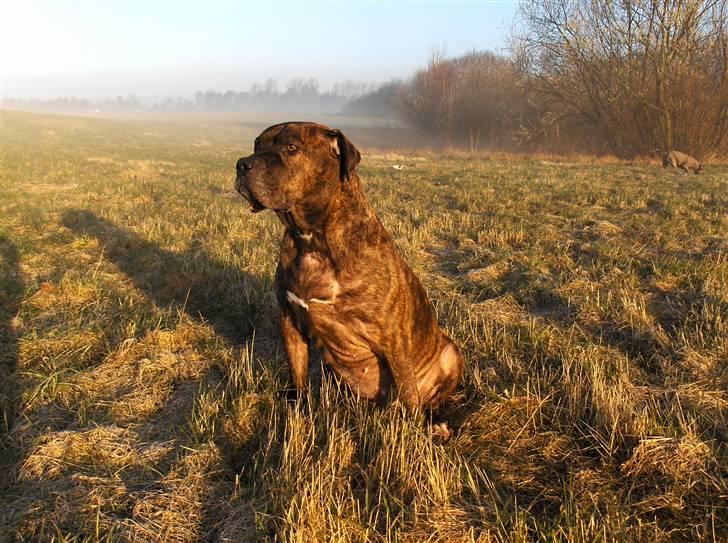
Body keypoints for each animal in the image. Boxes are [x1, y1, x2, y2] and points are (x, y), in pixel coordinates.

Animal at [236, 123, 464, 410]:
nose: (242, 164)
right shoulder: (289, 319)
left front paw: (411, 422)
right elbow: (297, 374)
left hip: (451, 352)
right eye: (257, 145)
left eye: (291, 148)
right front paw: (298, 408)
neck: (312, 239)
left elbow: (407, 392)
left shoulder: (394, 337)